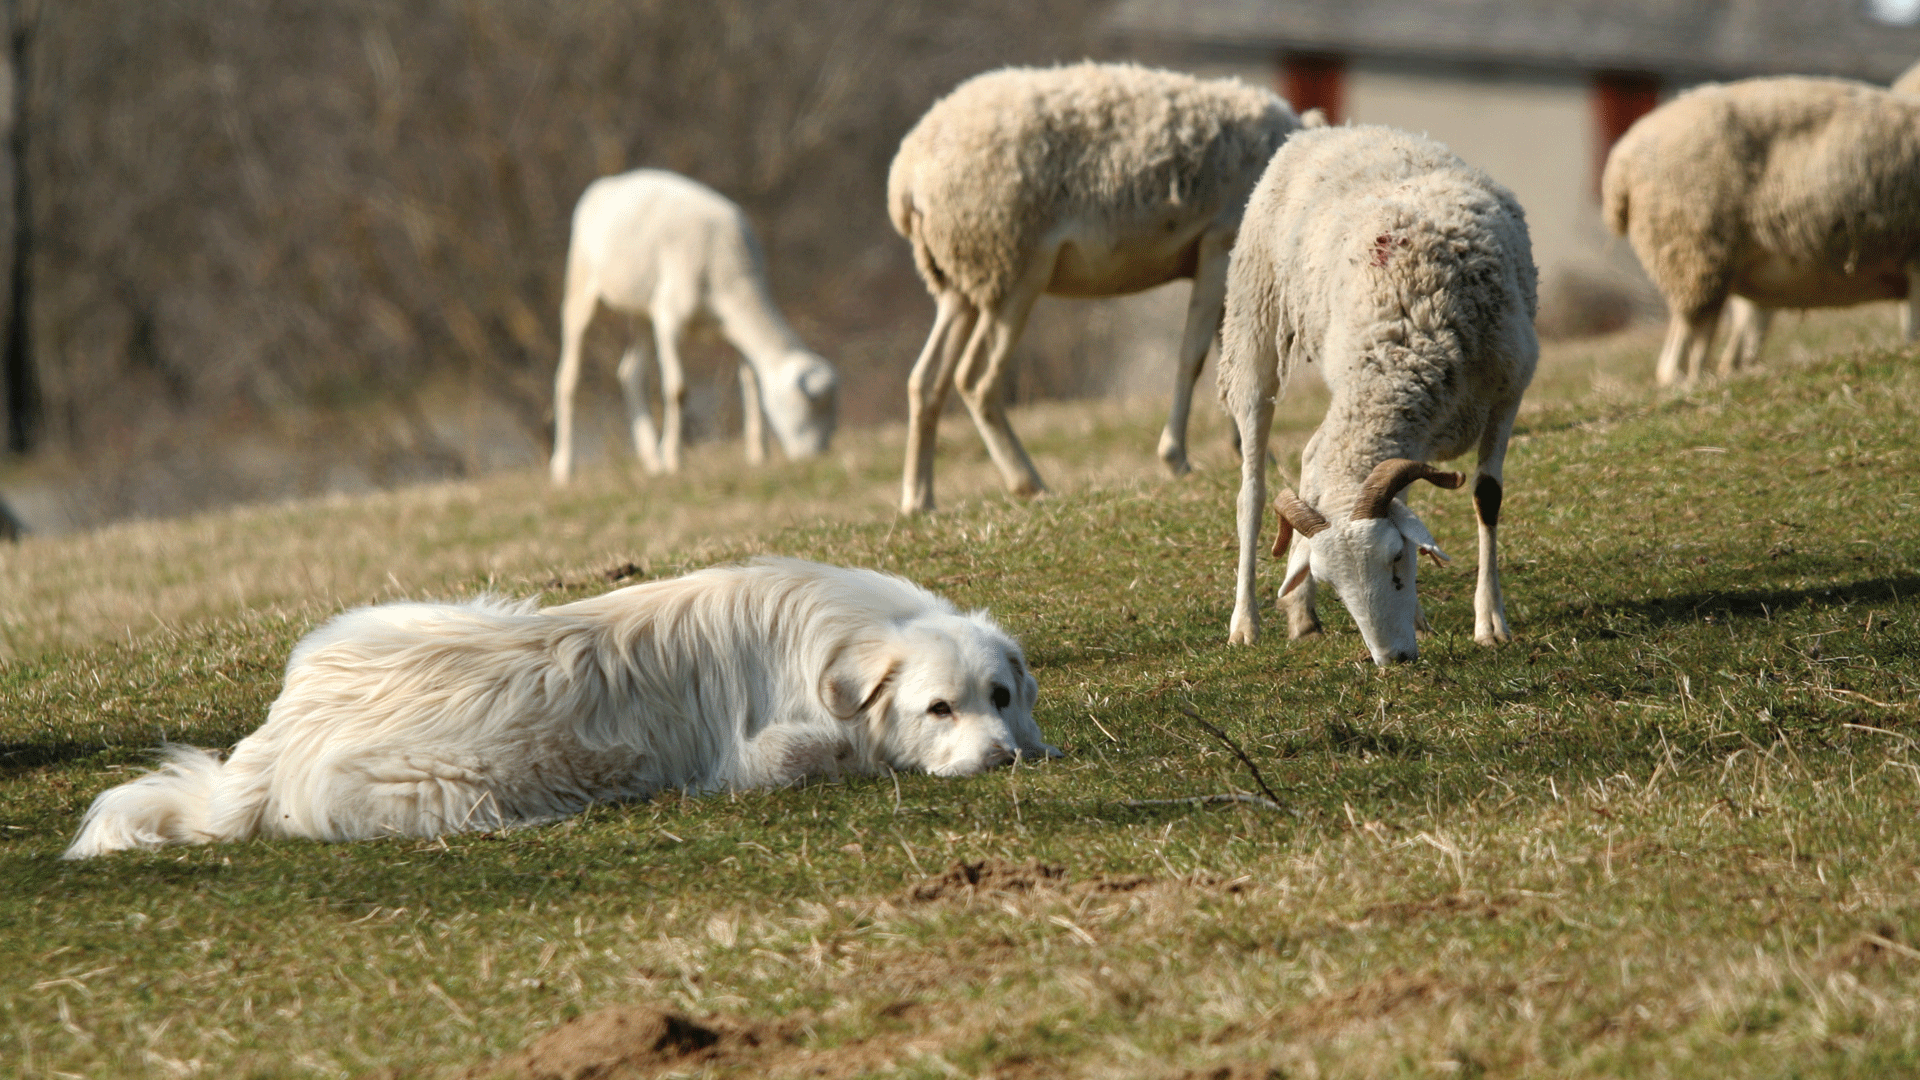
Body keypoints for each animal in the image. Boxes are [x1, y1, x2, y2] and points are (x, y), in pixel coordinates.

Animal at [63, 553, 1052, 857]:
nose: (1003, 757)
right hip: (447, 794)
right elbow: (830, 752)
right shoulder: (762, 755)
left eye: (999, 696)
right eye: (937, 709)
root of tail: (279, 732)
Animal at [545, 170, 837, 480]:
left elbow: (750, 382)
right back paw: (563, 468)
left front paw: (757, 455)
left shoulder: (732, 331)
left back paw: (652, 460)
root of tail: (605, 184)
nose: (818, 454)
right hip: (581, 284)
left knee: (630, 373)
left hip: (642, 309)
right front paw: (674, 459)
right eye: (810, 405)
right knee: (568, 377)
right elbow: (678, 389)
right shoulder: (668, 318)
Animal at [883, 62, 1305, 511]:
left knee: (926, 379)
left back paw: (919, 500)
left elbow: (1236, 359)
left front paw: (1251, 452)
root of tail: (906, 179)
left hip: (961, 281)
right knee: (975, 381)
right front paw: (1177, 458)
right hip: (1010, 267)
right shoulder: (1218, 243)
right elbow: (1193, 357)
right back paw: (1028, 483)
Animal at [1221, 125, 1536, 664]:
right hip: (1253, 321)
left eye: (1396, 558)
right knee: (1253, 490)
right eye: (1335, 584)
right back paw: (1247, 622)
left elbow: (1485, 497)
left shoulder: (1507, 389)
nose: (1394, 660)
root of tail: (1327, 131)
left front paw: (1489, 622)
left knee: (1309, 456)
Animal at [1597, 76, 1920, 386]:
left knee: (1718, 348)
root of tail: (1621, 161)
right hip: (1695, 253)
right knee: (1681, 352)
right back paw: (1693, 382)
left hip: (1731, 269)